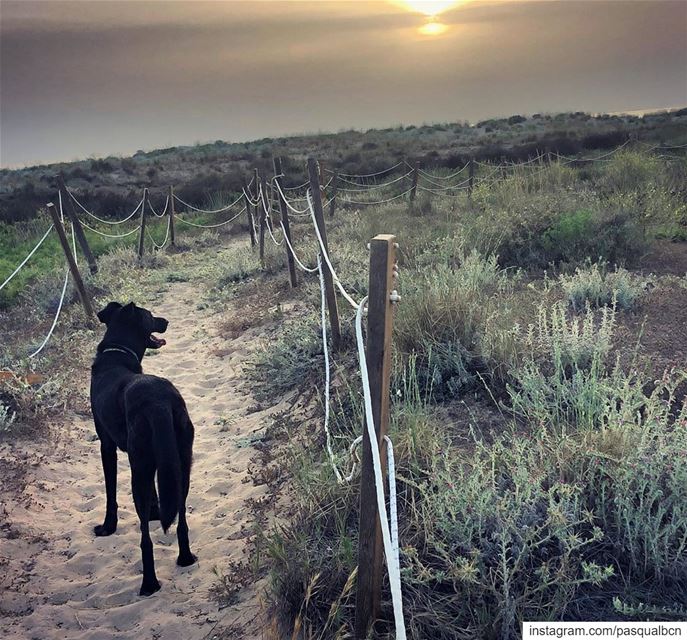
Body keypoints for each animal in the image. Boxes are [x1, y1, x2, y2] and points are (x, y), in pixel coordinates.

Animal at [89, 300, 196, 596]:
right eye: (150, 317)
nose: (166, 321)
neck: (117, 351)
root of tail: (158, 402)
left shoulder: (107, 447)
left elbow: (110, 493)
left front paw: (108, 527)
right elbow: (157, 495)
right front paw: (156, 512)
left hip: (139, 468)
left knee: (145, 540)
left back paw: (149, 584)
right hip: (181, 464)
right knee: (181, 518)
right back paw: (185, 558)